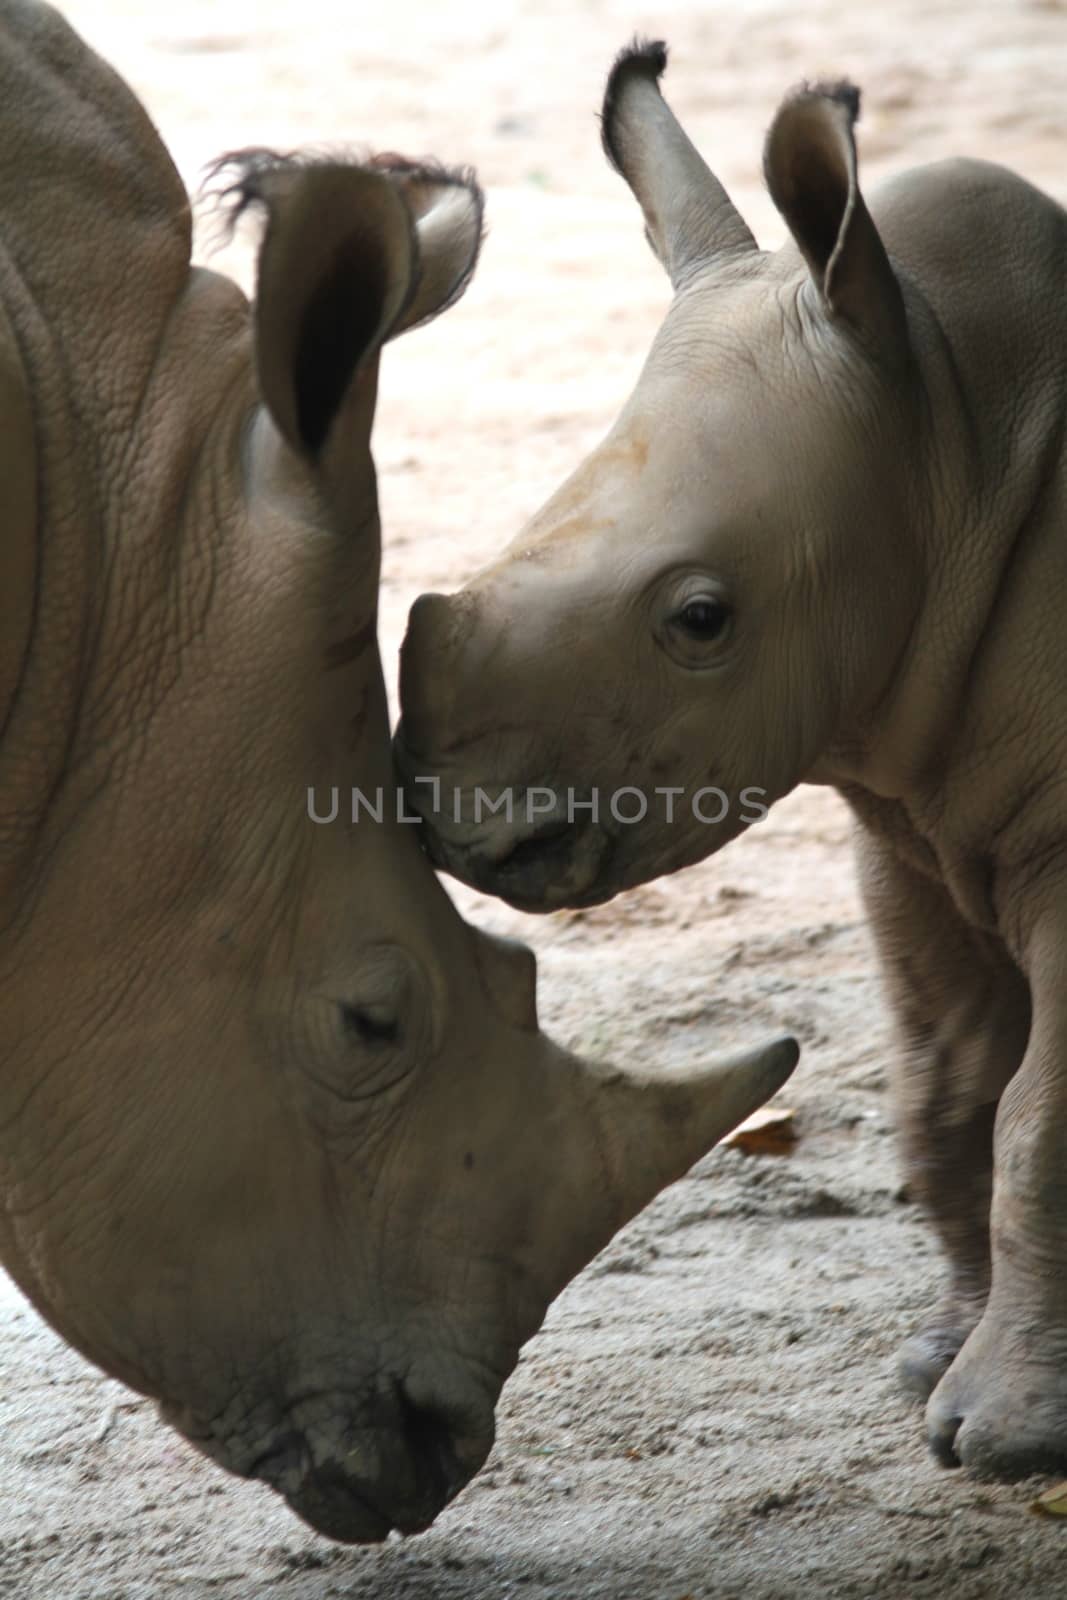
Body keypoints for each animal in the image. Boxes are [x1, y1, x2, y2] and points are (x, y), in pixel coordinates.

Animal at [396, 37, 1067, 1478]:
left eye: (700, 619)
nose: (458, 826)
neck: (951, 440)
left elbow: (1037, 1116)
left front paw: (999, 1441)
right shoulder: (911, 809)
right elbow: (946, 1087)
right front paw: (931, 1361)